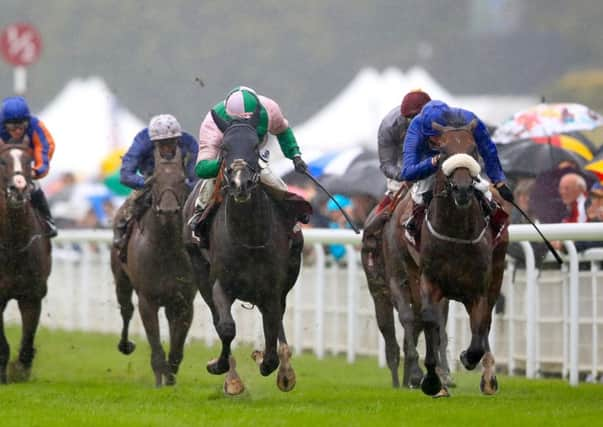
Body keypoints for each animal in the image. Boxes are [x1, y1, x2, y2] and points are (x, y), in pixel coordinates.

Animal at [111, 141, 196, 388]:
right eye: (155, 180)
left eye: (181, 179)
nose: (168, 210)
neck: (166, 248)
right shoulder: (147, 300)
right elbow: (156, 346)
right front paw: (160, 380)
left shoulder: (184, 301)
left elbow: (176, 349)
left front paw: (170, 379)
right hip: (121, 279)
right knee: (126, 309)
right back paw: (125, 344)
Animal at [398, 118, 512, 396]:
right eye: (443, 152)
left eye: (473, 150)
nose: (462, 189)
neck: (456, 232)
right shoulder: (430, 281)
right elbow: (431, 321)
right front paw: (432, 380)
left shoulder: (478, 289)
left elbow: (480, 331)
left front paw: (468, 359)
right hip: (410, 270)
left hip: (497, 271)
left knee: (486, 322)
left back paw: (488, 377)